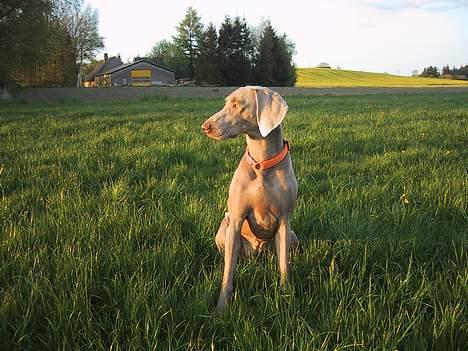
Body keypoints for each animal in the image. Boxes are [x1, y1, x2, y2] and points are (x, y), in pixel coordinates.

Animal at [200, 86, 296, 310]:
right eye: (226, 103)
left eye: (237, 105)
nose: (205, 127)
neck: (262, 163)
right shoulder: (236, 220)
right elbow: (228, 272)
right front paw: (221, 306)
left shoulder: (284, 222)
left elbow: (284, 265)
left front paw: (286, 295)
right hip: (224, 229)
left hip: (293, 236)